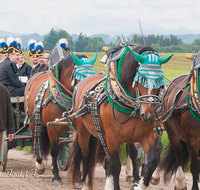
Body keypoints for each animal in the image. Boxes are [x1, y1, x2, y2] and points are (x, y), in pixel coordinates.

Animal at [23, 47, 98, 184]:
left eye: (93, 74)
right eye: (81, 76)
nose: (92, 95)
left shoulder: (75, 129)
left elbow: (76, 151)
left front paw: (77, 177)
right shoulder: (52, 128)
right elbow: (54, 151)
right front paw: (56, 176)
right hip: (33, 119)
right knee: (36, 138)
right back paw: (39, 164)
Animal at [66, 40, 173, 190]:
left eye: (160, 81)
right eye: (142, 79)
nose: (148, 115)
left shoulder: (145, 135)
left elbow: (151, 160)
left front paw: (139, 184)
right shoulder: (112, 138)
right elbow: (115, 166)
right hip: (83, 132)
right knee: (86, 155)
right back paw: (85, 183)